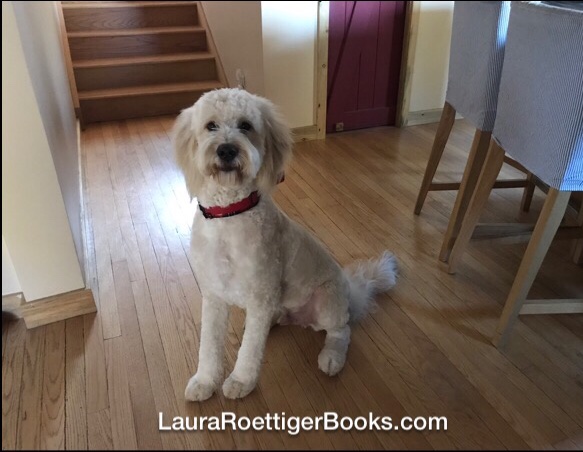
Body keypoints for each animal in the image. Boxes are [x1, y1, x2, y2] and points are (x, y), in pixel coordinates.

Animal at [173, 88, 398, 401]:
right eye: (211, 126)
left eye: (246, 125)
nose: (227, 150)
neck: (229, 214)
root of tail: (350, 293)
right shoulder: (214, 295)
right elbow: (208, 346)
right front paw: (205, 381)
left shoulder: (260, 294)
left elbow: (250, 350)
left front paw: (241, 381)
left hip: (326, 302)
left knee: (341, 331)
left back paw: (332, 358)